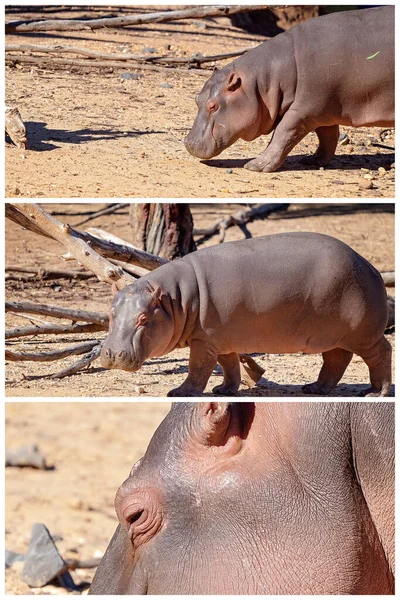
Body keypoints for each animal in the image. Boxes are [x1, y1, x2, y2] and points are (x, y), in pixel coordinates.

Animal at [100, 234, 390, 398]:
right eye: (110, 314)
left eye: (143, 319)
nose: (112, 354)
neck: (176, 299)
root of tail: (371, 267)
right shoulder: (221, 340)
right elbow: (229, 365)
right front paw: (224, 390)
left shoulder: (204, 340)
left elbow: (198, 368)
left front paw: (180, 393)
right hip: (330, 336)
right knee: (336, 359)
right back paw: (314, 389)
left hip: (362, 334)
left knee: (380, 353)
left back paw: (375, 393)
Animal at [184, 6, 394, 171]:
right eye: (196, 99)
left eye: (214, 106)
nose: (188, 142)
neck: (262, 83)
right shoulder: (324, 109)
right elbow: (328, 135)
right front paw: (312, 160)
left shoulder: (303, 110)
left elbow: (282, 133)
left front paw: (255, 166)